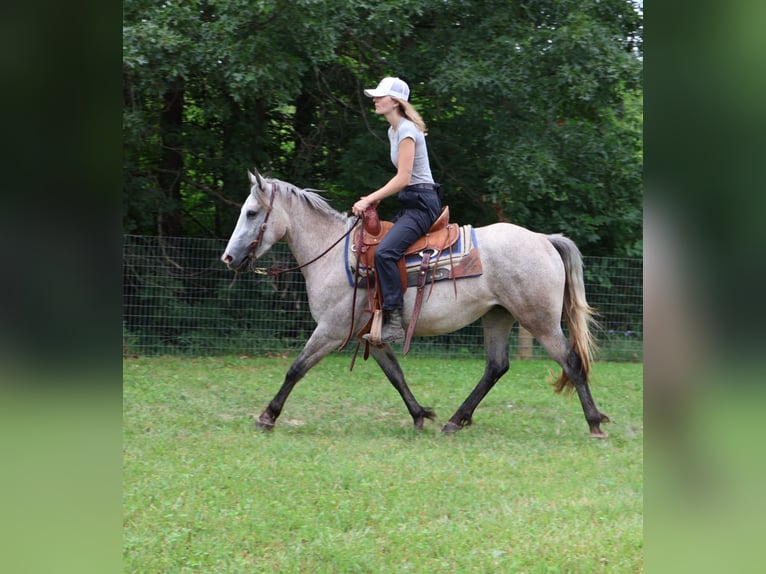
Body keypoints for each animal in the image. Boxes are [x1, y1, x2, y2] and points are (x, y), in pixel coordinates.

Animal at [221, 170, 610, 437]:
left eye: (252, 213)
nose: (229, 258)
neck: (333, 254)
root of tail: (544, 240)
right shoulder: (370, 335)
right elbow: (396, 375)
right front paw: (420, 414)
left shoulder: (331, 330)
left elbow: (296, 369)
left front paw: (268, 415)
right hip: (499, 317)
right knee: (496, 367)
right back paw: (455, 420)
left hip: (539, 320)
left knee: (571, 361)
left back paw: (595, 423)